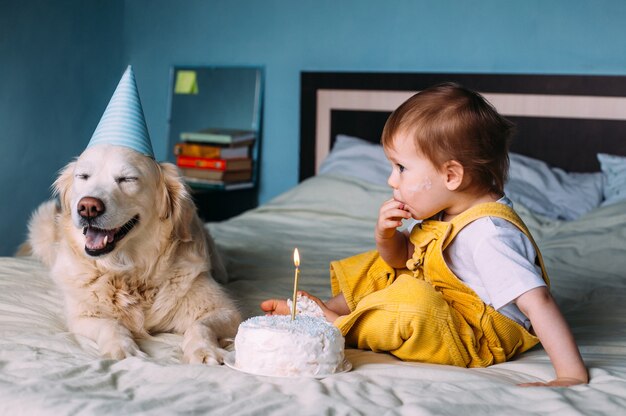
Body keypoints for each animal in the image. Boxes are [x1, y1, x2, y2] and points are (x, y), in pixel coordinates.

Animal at [25, 143, 239, 364]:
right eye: (83, 176)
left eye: (127, 179)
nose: (88, 207)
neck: (129, 273)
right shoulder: (82, 315)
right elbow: (110, 324)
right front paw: (121, 347)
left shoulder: (225, 310)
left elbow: (200, 325)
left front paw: (204, 350)